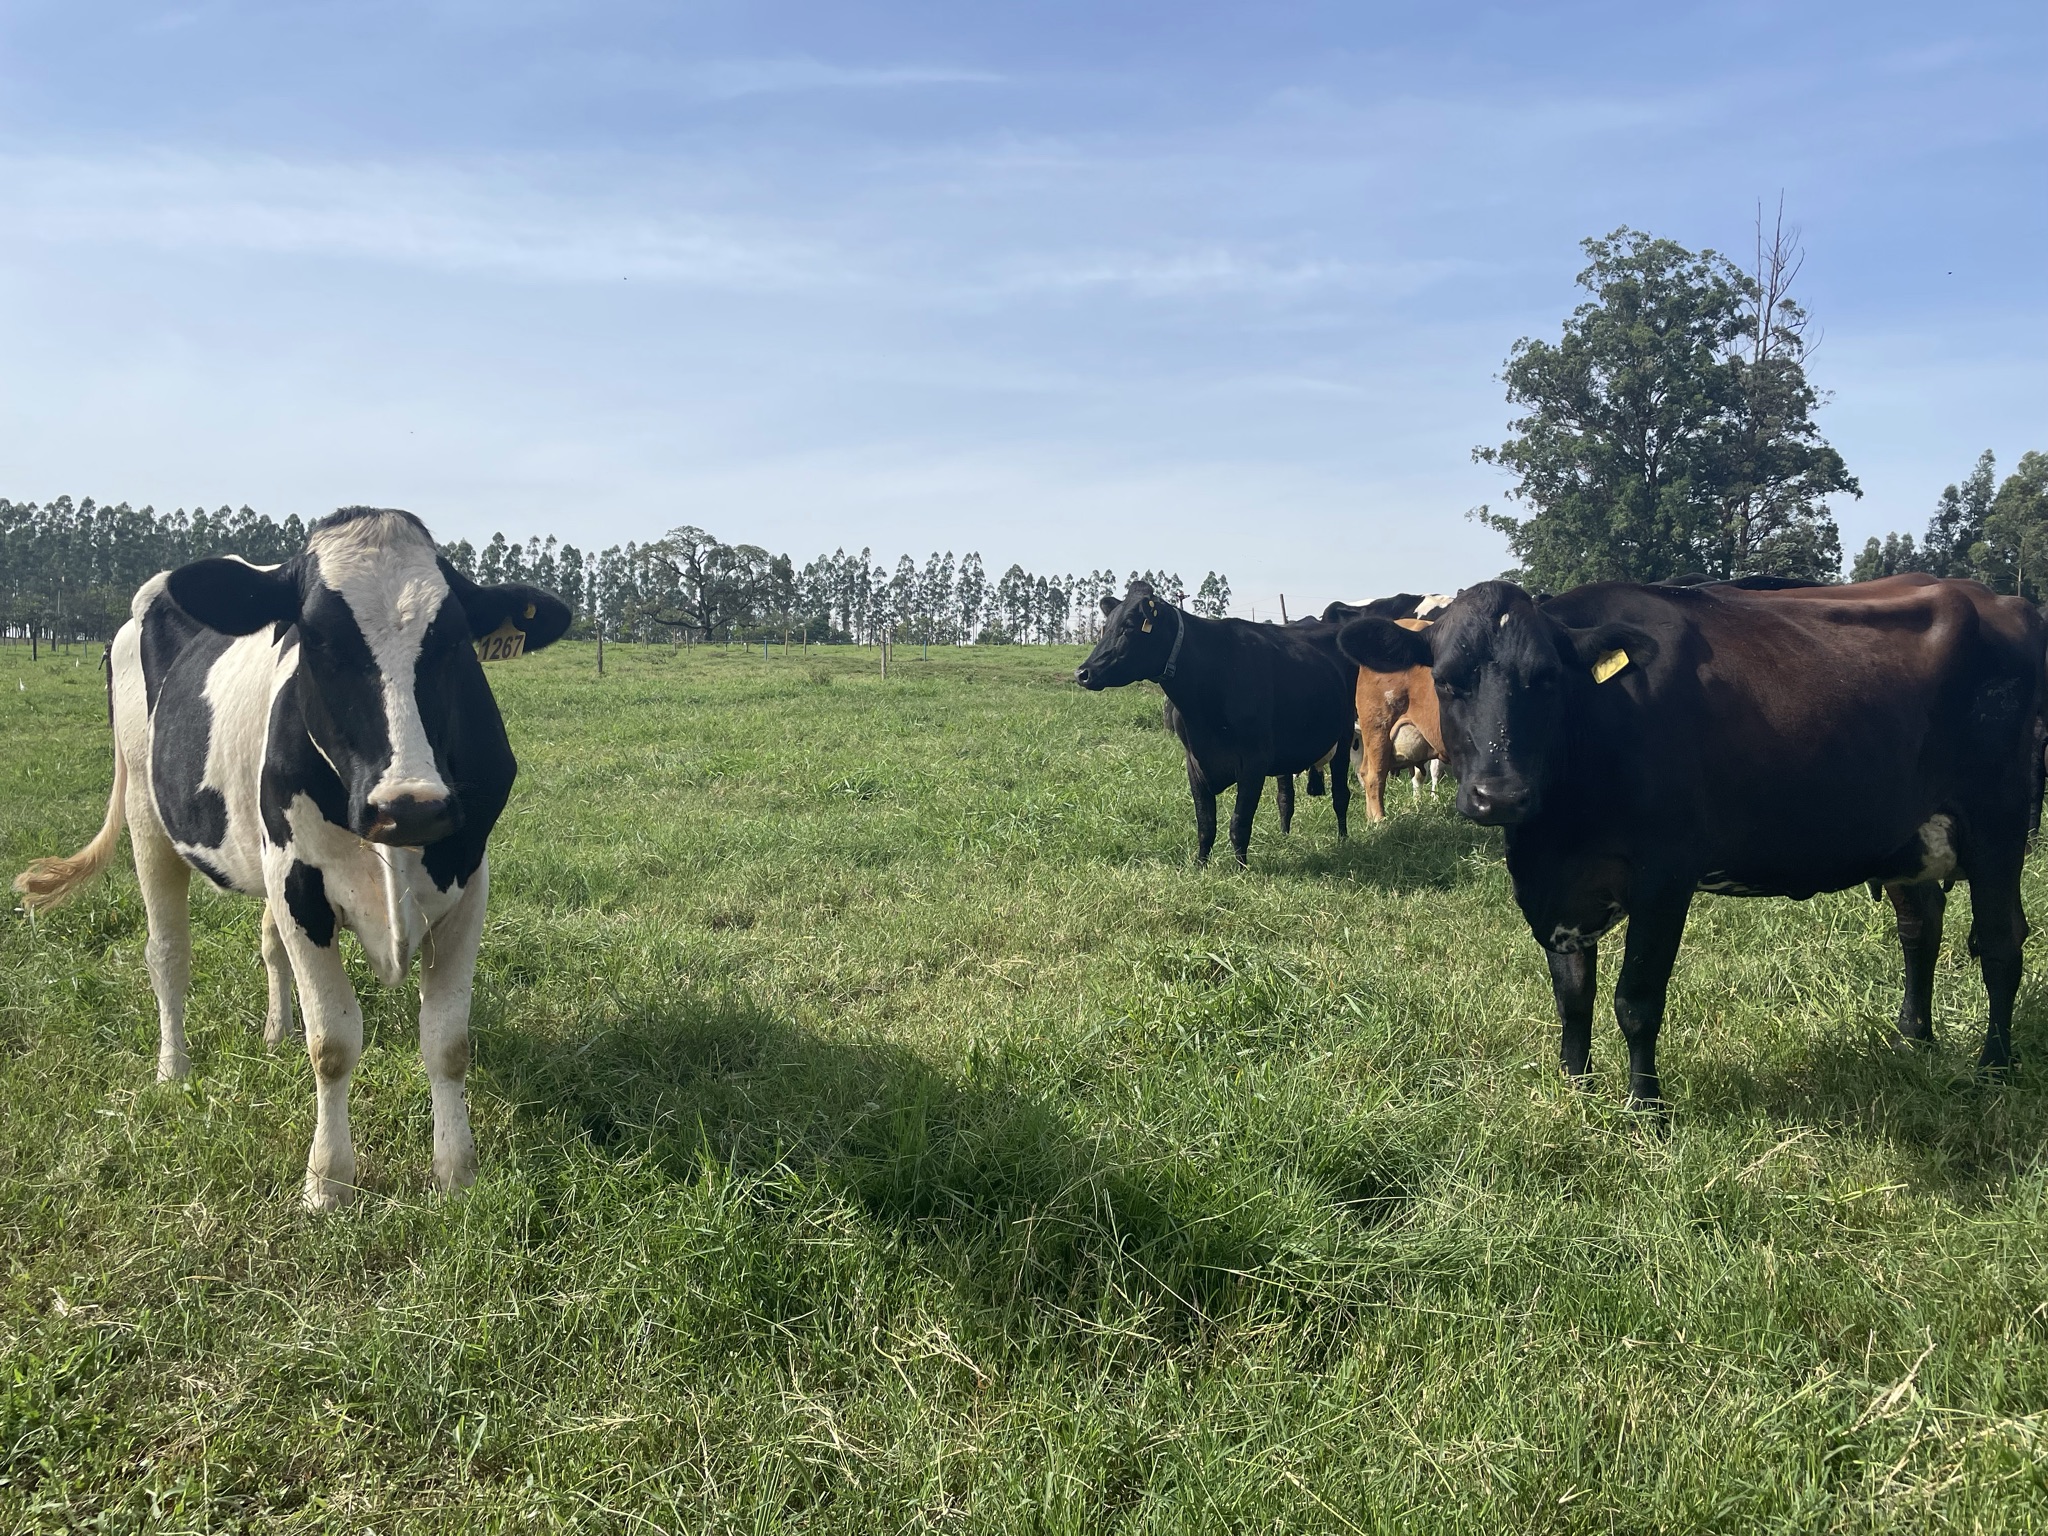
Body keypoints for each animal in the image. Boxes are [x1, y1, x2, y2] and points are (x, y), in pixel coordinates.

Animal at [12, 507, 571, 1207]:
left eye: (453, 644)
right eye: (319, 639)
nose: (410, 805)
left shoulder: (468, 881)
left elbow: (448, 1041)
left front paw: (456, 1175)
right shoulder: (299, 882)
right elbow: (332, 1041)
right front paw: (328, 1181)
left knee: (268, 943)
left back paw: (275, 1031)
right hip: (146, 808)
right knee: (167, 953)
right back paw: (174, 1069)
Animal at [1077, 581, 1354, 865]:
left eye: (1130, 625)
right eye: (1106, 626)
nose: (1083, 673)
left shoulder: (1254, 760)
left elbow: (1239, 823)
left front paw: (1241, 868)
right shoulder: (1193, 760)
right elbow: (1205, 822)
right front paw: (1200, 864)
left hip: (1344, 734)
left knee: (1340, 794)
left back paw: (1343, 841)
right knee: (1285, 796)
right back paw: (1285, 835)